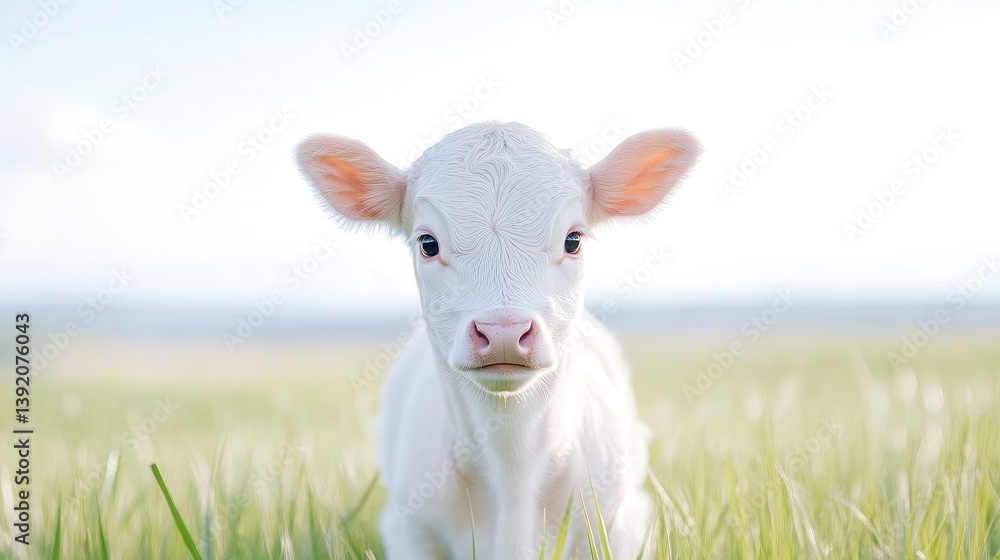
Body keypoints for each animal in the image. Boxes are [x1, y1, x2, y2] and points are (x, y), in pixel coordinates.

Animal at [295, 121, 700, 559]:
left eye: (573, 240)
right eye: (427, 243)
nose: (503, 332)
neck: (512, 470)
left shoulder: (623, 523)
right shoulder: (409, 530)